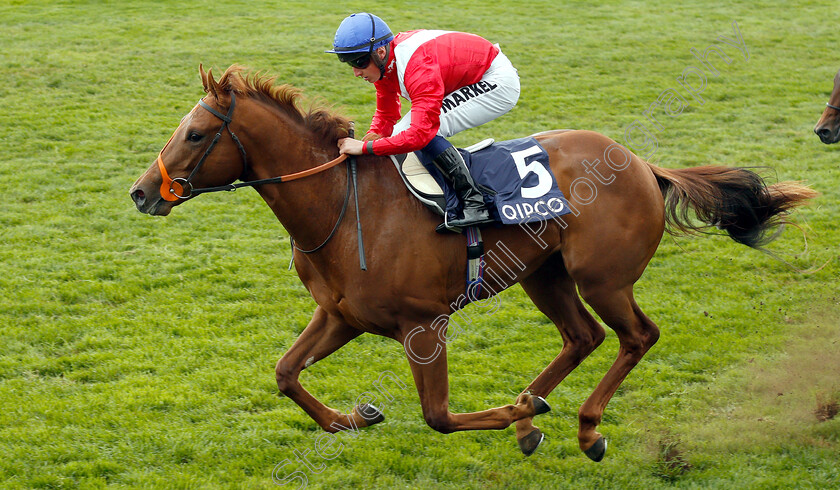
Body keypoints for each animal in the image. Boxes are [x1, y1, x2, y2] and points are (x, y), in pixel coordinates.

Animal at [130, 66, 812, 460]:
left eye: (196, 135)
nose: (141, 193)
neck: (340, 208)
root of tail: (643, 163)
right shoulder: (341, 316)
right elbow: (285, 374)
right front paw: (357, 415)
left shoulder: (423, 325)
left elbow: (437, 416)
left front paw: (516, 412)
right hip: (544, 274)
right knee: (583, 337)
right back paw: (535, 417)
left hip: (603, 278)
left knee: (636, 336)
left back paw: (582, 426)